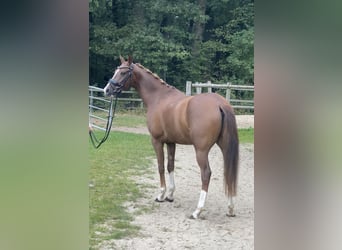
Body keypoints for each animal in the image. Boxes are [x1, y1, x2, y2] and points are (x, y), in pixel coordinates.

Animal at [103, 55, 239, 218]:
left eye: (123, 73)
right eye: (116, 70)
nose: (107, 90)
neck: (159, 98)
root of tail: (220, 104)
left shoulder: (156, 141)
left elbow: (161, 166)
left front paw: (161, 195)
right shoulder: (171, 142)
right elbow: (170, 166)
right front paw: (170, 195)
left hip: (201, 150)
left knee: (206, 173)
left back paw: (197, 210)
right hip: (224, 146)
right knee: (228, 172)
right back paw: (230, 208)